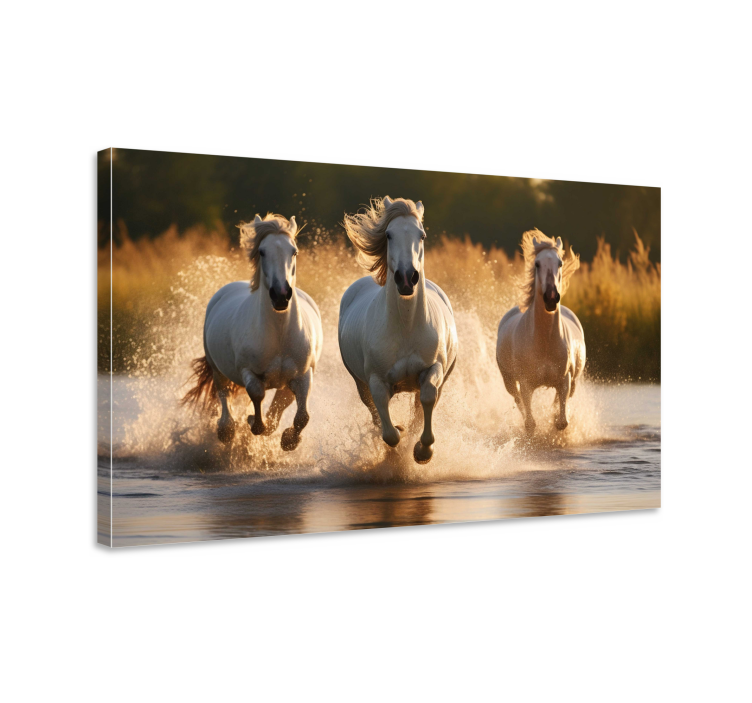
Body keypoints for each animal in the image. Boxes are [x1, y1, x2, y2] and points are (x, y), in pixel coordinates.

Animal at [182, 213, 323, 451]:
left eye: (294, 251)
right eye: (262, 251)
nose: (281, 295)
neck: (279, 335)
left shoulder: (303, 376)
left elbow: (302, 416)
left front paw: (289, 440)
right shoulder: (249, 372)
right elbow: (257, 396)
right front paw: (253, 423)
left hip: (284, 384)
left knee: (278, 405)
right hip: (217, 369)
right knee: (224, 396)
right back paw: (226, 429)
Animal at [338, 196, 458, 464]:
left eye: (422, 235)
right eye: (389, 235)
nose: (406, 278)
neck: (406, 326)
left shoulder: (433, 368)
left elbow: (427, 397)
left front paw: (423, 451)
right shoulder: (376, 381)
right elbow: (389, 432)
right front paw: (398, 441)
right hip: (359, 382)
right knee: (374, 412)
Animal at [496, 229, 586, 434]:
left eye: (560, 263)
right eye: (537, 264)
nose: (551, 298)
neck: (544, 342)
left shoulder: (565, 380)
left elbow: (561, 421)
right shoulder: (525, 383)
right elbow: (530, 423)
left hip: (574, 382)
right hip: (509, 382)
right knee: (518, 400)